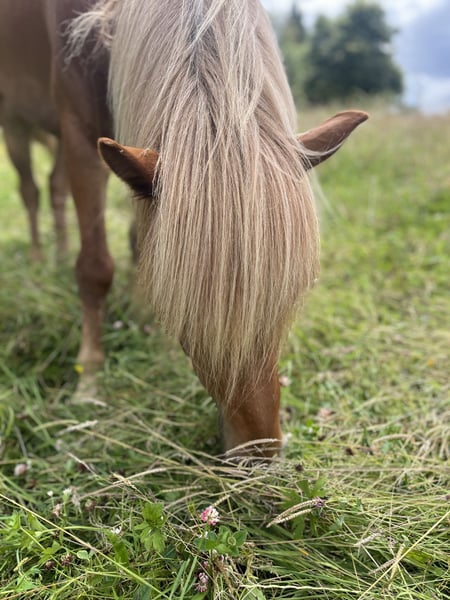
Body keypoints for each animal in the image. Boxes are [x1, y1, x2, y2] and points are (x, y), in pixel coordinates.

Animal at [0, 0, 367, 456]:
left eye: (292, 296)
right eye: (189, 320)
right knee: (31, 191)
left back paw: (57, 253)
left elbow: (140, 244)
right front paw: (90, 378)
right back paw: (38, 258)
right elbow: (96, 267)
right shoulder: (78, 130)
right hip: (15, 123)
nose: (260, 452)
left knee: (52, 189)